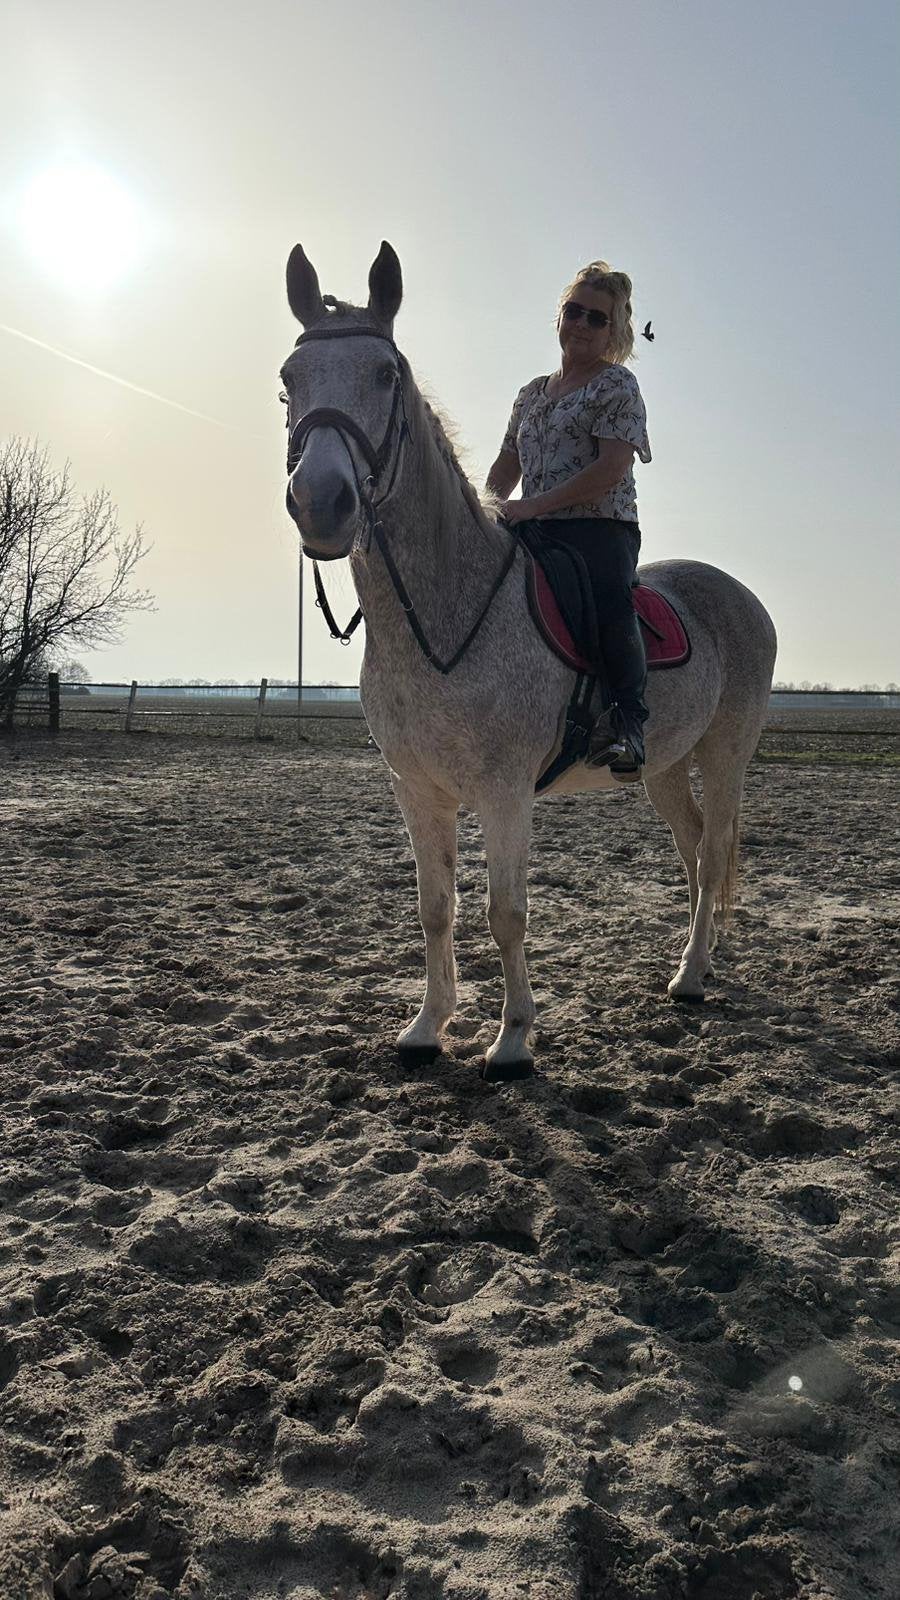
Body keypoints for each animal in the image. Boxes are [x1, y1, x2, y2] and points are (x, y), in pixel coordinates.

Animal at [279, 241, 777, 1081]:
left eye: (385, 375)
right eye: (289, 378)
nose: (321, 502)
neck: (443, 617)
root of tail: (739, 594)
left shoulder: (505, 792)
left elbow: (505, 912)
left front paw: (512, 1040)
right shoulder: (418, 790)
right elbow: (435, 908)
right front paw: (428, 1026)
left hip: (726, 753)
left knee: (711, 856)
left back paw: (689, 978)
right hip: (665, 764)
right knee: (691, 849)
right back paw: (696, 964)